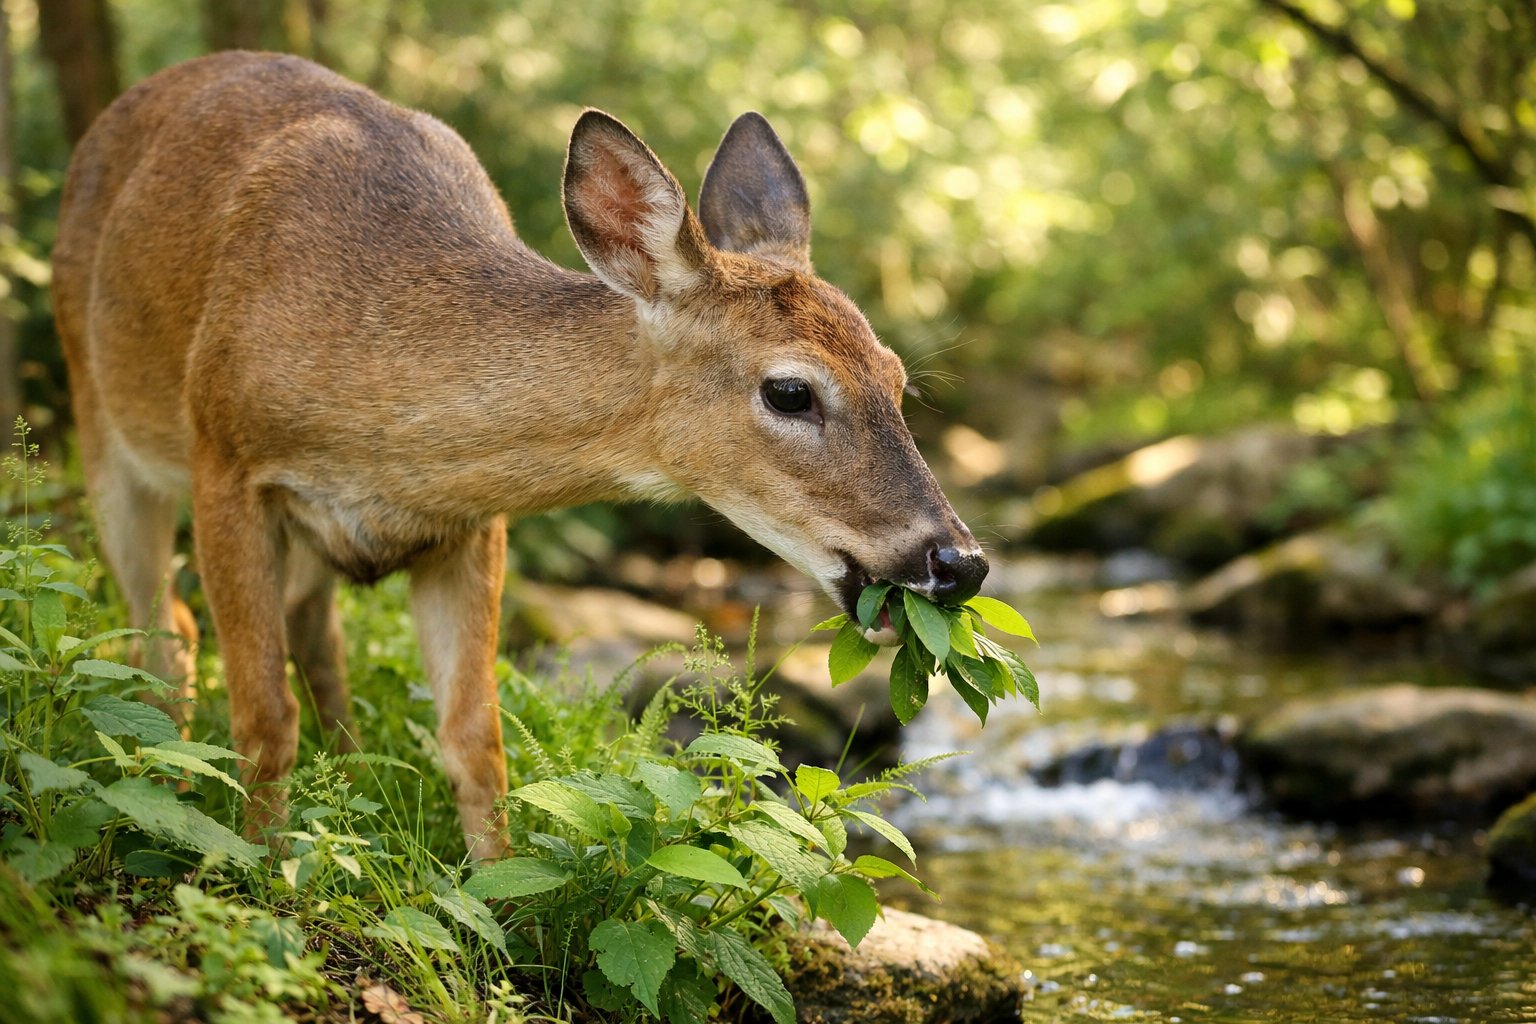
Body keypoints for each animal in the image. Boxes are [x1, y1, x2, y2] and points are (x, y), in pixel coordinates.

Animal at [51, 51, 988, 860]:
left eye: (898, 379)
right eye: (791, 391)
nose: (959, 560)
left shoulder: (470, 523)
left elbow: (476, 735)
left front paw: (492, 893)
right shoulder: (227, 461)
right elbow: (261, 714)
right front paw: (260, 865)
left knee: (310, 631)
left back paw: (341, 777)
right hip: (101, 418)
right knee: (168, 625)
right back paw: (172, 785)